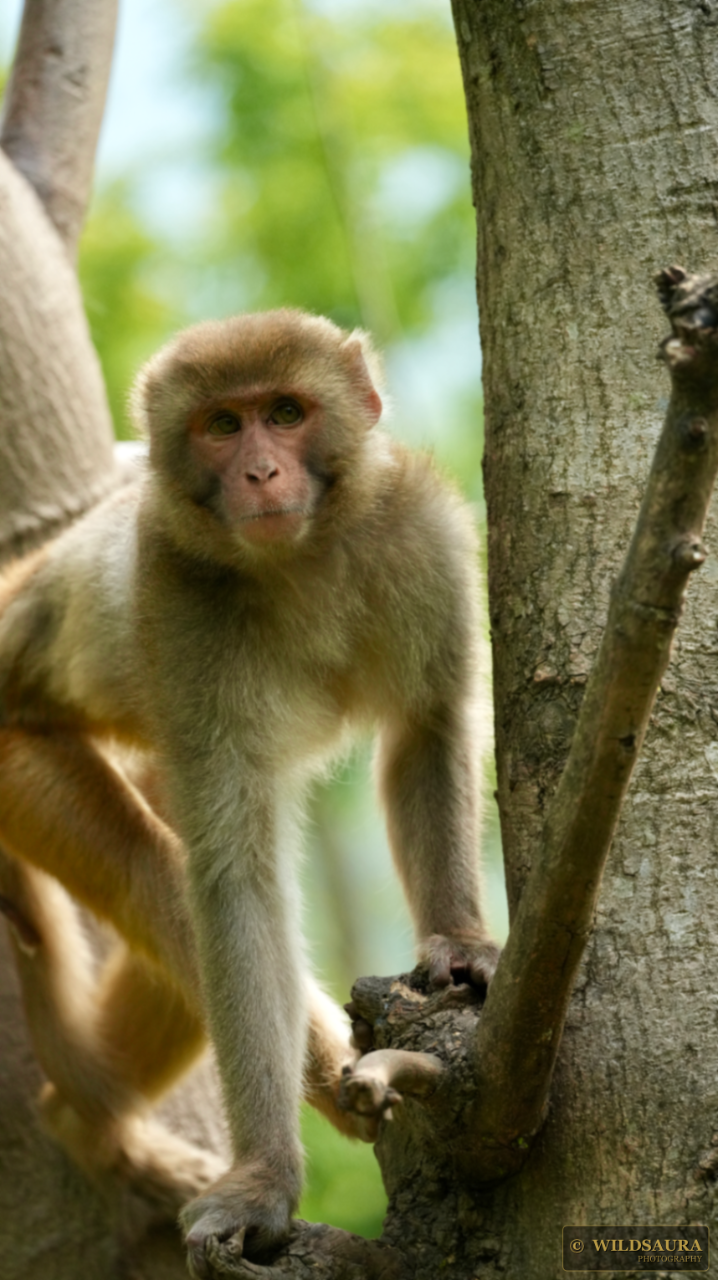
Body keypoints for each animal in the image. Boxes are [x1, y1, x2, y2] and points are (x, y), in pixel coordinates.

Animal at [0, 309, 499, 1271]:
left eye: (286, 412)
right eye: (222, 427)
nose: (261, 471)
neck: (304, 558)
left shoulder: (420, 530)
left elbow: (426, 729)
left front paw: (458, 945)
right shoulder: (178, 595)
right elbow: (236, 888)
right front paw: (266, 1182)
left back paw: (82, 1121)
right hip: (19, 764)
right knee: (160, 876)